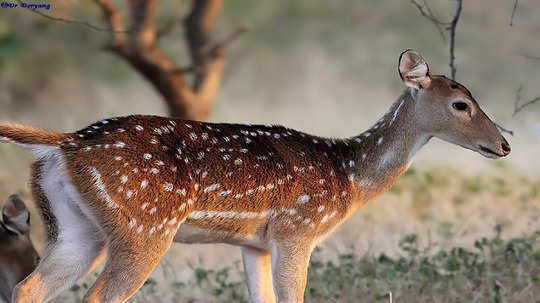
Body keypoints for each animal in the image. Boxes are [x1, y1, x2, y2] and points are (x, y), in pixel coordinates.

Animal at [1, 50, 510, 303]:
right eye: (460, 103)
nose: (504, 144)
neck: (347, 176)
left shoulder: (255, 243)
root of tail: (66, 143)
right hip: (143, 225)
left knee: (28, 288)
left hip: (76, 227)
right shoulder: (297, 230)